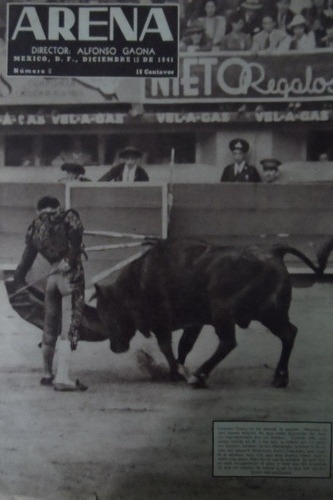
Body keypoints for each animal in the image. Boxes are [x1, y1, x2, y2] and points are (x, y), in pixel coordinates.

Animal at [94, 239, 320, 390]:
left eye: (107, 311)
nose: (114, 347)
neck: (136, 283)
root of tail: (274, 251)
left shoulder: (161, 323)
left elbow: (167, 347)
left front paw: (177, 372)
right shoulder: (194, 323)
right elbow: (184, 345)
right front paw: (176, 371)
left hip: (231, 312)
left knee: (229, 342)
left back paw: (200, 376)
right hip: (270, 314)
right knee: (289, 333)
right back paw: (280, 377)